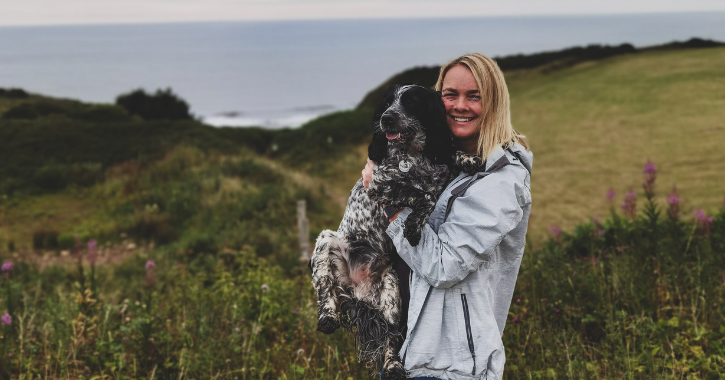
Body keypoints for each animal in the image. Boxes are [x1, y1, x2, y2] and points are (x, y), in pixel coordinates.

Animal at [310, 85, 452, 380]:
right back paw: (327, 318)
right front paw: (414, 223)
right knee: (325, 292)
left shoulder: (437, 171)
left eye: (411, 102)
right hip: (326, 243)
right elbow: (419, 193)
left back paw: (394, 366)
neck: (411, 155)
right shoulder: (379, 184)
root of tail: (355, 292)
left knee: (390, 336)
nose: (386, 118)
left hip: (391, 291)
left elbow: (433, 185)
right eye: (386, 103)